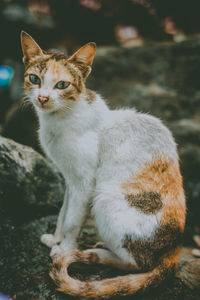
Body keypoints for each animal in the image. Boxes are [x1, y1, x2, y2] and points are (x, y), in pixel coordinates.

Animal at [21, 31, 185, 298]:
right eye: (34, 79)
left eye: (62, 85)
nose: (43, 98)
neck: (57, 121)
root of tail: (175, 251)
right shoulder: (70, 180)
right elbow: (63, 213)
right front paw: (55, 239)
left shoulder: (85, 182)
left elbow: (73, 221)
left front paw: (64, 249)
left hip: (104, 196)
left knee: (137, 264)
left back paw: (95, 254)